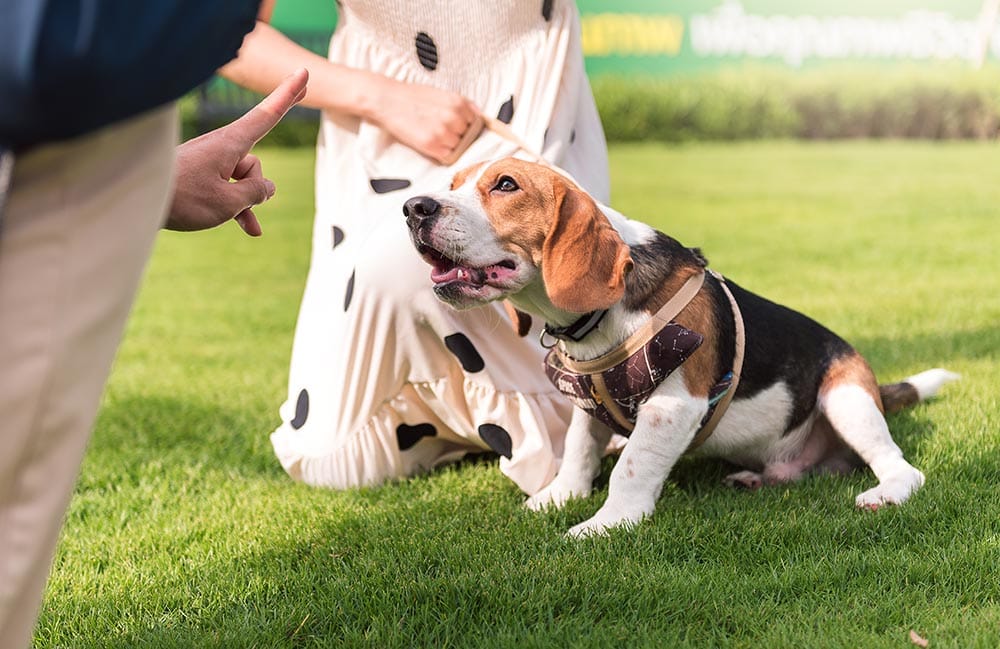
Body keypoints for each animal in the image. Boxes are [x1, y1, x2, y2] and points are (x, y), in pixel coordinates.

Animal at [402, 157, 956, 536]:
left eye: (505, 185)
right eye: (452, 185)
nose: (412, 208)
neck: (597, 320)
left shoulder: (672, 405)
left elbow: (631, 466)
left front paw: (606, 524)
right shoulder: (586, 398)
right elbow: (579, 450)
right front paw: (559, 497)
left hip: (845, 398)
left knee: (900, 465)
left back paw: (886, 492)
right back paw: (755, 478)